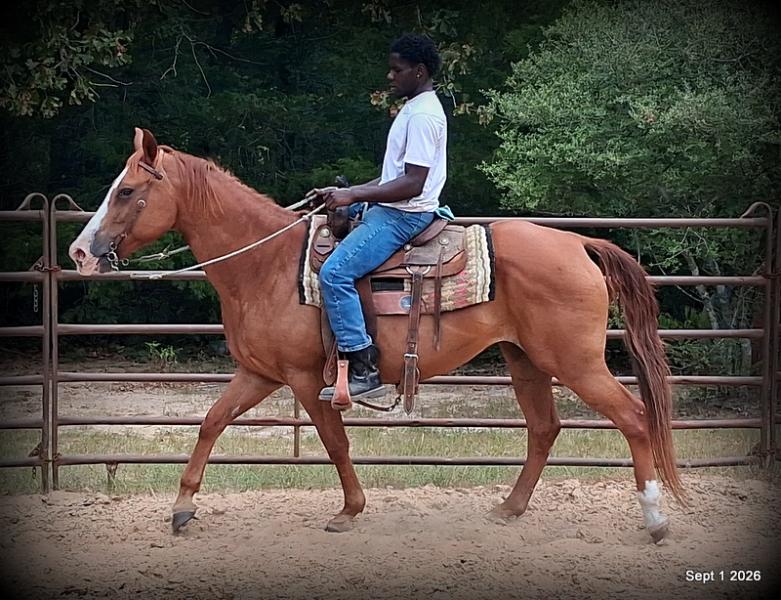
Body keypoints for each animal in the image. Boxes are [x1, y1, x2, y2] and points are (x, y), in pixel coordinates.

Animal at [69, 128, 684, 543]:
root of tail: (577, 243)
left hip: (576, 362)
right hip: (524, 359)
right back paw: (509, 508)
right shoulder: (258, 373)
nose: (79, 252)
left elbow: (335, 441)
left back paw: (655, 519)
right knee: (544, 428)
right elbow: (211, 423)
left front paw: (350, 510)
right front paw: (182, 508)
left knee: (633, 417)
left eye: (127, 191)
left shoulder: (304, 379)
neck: (265, 265)